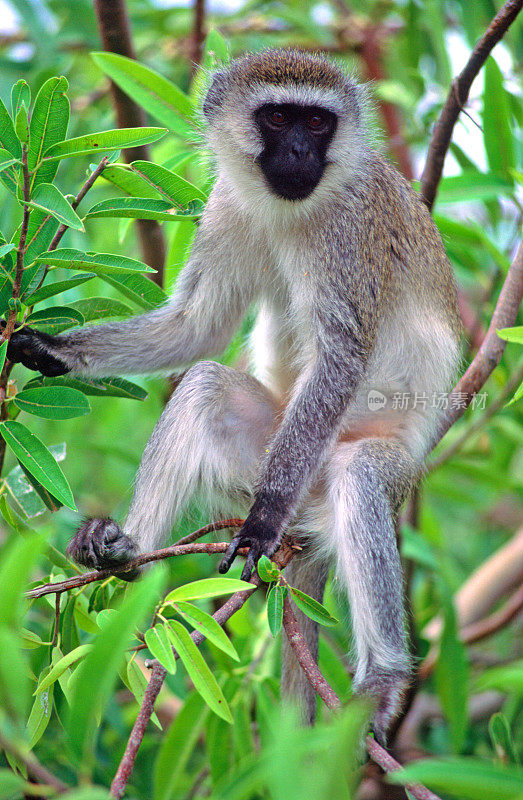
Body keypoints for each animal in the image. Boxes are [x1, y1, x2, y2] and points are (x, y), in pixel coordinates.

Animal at [6, 48, 460, 736]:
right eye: (276, 118)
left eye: (317, 122)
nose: (298, 152)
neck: (294, 209)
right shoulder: (226, 205)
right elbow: (198, 327)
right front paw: (50, 351)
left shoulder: (350, 234)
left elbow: (339, 360)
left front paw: (263, 519)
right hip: (255, 456)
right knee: (204, 384)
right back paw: (124, 550)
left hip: (369, 469)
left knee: (358, 474)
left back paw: (381, 679)